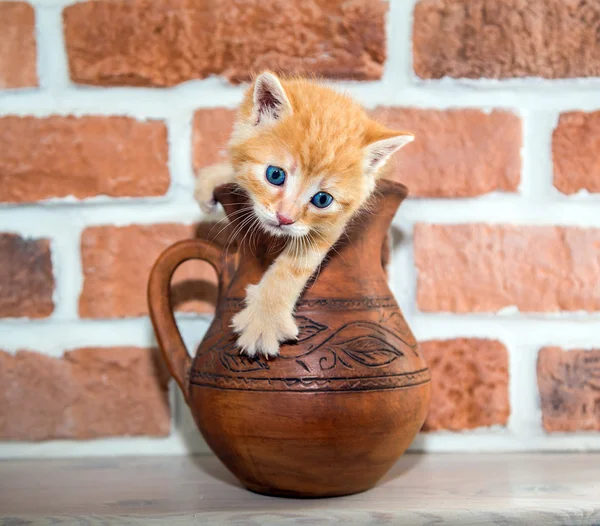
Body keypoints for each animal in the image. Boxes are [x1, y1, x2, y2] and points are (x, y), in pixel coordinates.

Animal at [196, 72, 412, 358]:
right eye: (275, 175)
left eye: (322, 199)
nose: (285, 218)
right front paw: (212, 179)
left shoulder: (336, 222)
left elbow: (296, 263)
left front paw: (264, 320)